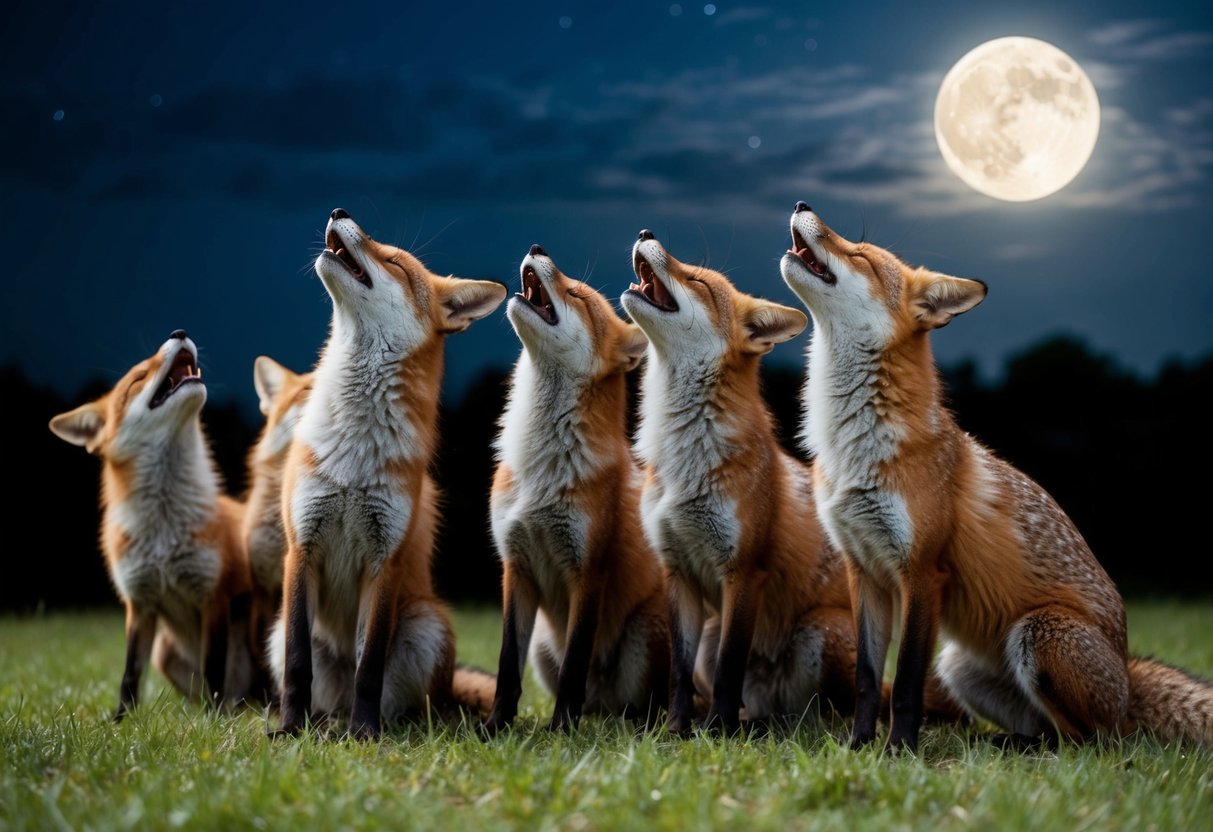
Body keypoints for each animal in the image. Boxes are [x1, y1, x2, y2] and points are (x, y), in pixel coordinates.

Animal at [49, 331, 258, 719]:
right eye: (138, 378)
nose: (179, 332)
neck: (164, 530)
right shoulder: (139, 603)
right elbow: (130, 673)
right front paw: (121, 721)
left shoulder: (213, 595)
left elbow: (213, 668)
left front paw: (212, 722)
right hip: (164, 651)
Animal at [270, 209, 505, 739]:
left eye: (394, 262)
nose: (339, 212)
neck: (353, 459)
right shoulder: (301, 546)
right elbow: (297, 664)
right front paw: (289, 730)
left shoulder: (385, 560)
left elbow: (369, 666)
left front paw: (365, 735)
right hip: (275, 631)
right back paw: (318, 724)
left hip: (426, 623)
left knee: (416, 705)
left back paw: (375, 726)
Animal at [485, 244, 668, 733]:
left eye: (577, 296)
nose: (536, 248)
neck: (542, 468)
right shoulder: (516, 566)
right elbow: (506, 665)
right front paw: (496, 724)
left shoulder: (588, 570)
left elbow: (575, 662)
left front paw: (561, 729)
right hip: (542, 645)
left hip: (644, 633)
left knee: (640, 705)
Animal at [620, 230, 860, 734]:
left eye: (697, 281)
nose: (646, 234)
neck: (686, 461)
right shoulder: (678, 571)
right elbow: (677, 672)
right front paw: (676, 730)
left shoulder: (744, 570)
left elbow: (731, 667)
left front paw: (716, 732)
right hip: (712, 636)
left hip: (820, 629)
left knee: (824, 710)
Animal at [781, 201, 1213, 751]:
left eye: (859, 254)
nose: (801, 205)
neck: (854, 449)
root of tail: (1127, 678)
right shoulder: (865, 572)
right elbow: (867, 680)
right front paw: (859, 746)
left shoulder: (923, 572)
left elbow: (905, 684)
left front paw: (899, 750)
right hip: (959, 665)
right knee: (1045, 726)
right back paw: (1008, 742)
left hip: (1037, 633)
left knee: (1090, 741)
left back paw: (1026, 748)